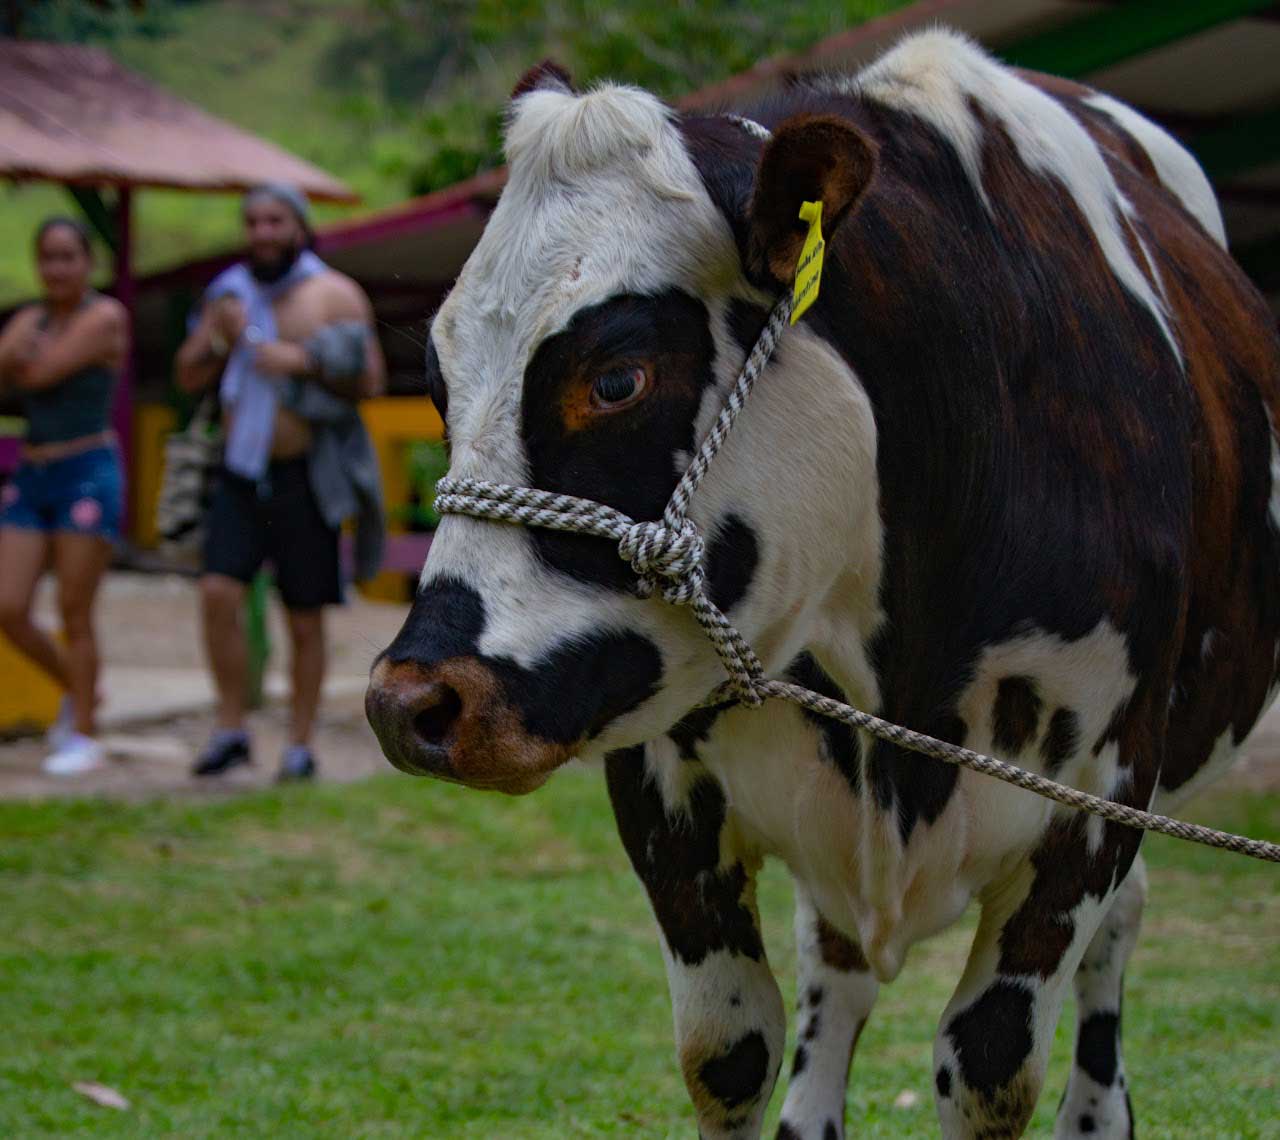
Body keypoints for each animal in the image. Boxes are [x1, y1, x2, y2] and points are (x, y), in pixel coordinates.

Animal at [365, 28, 1280, 1139]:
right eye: (438, 382)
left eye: (616, 377)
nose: (412, 700)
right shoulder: (661, 786)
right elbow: (729, 1051)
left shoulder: (1094, 801)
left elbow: (987, 1065)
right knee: (833, 971)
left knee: (1117, 939)